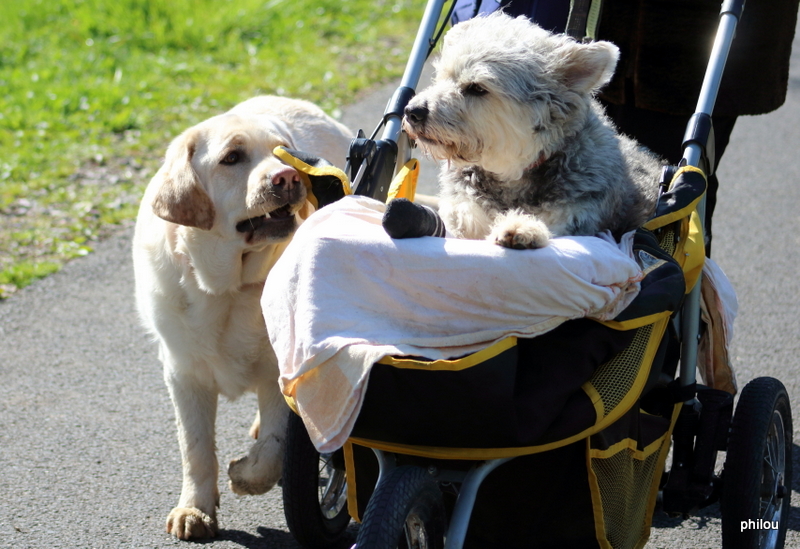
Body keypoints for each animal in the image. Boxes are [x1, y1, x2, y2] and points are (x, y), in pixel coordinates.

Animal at [133, 96, 352, 536]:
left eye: (283, 152)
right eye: (232, 158)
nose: (288, 177)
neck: (229, 289)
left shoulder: (284, 368)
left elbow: (274, 447)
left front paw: (245, 476)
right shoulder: (184, 372)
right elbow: (196, 448)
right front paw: (194, 510)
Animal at [404, 13, 664, 248]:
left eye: (476, 88)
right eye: (442, 77)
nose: (412, 111)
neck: (511, 173)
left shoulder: (573, 216)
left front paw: (522, 227)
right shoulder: (463, 213)